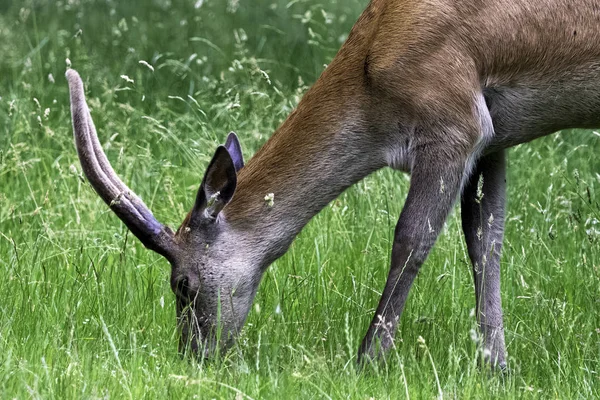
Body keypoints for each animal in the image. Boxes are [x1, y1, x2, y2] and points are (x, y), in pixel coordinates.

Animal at [68, 0, 600, 368]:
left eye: (182, 284)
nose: (192, 356)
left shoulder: (455, 123)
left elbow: (412, 238)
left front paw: (367, 361)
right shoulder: (495, 135)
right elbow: (485, 238)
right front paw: (496, 367)